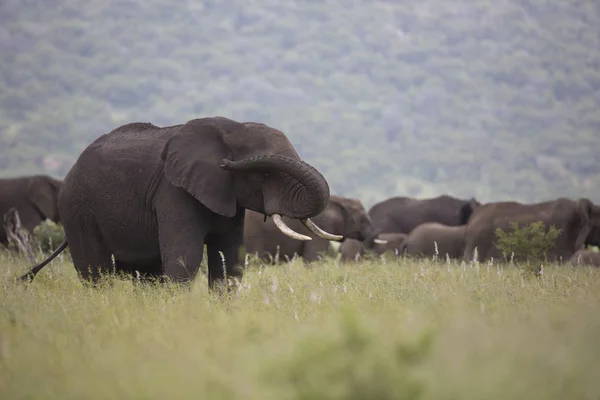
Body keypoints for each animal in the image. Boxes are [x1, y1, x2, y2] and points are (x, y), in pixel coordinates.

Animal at [17, 115, 342, 288]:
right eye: (263, 173)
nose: (228, 164)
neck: (231, 127)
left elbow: (229, 260)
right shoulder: (172, 192)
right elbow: (185, 258)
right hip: (78, 209)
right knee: (96, 273)